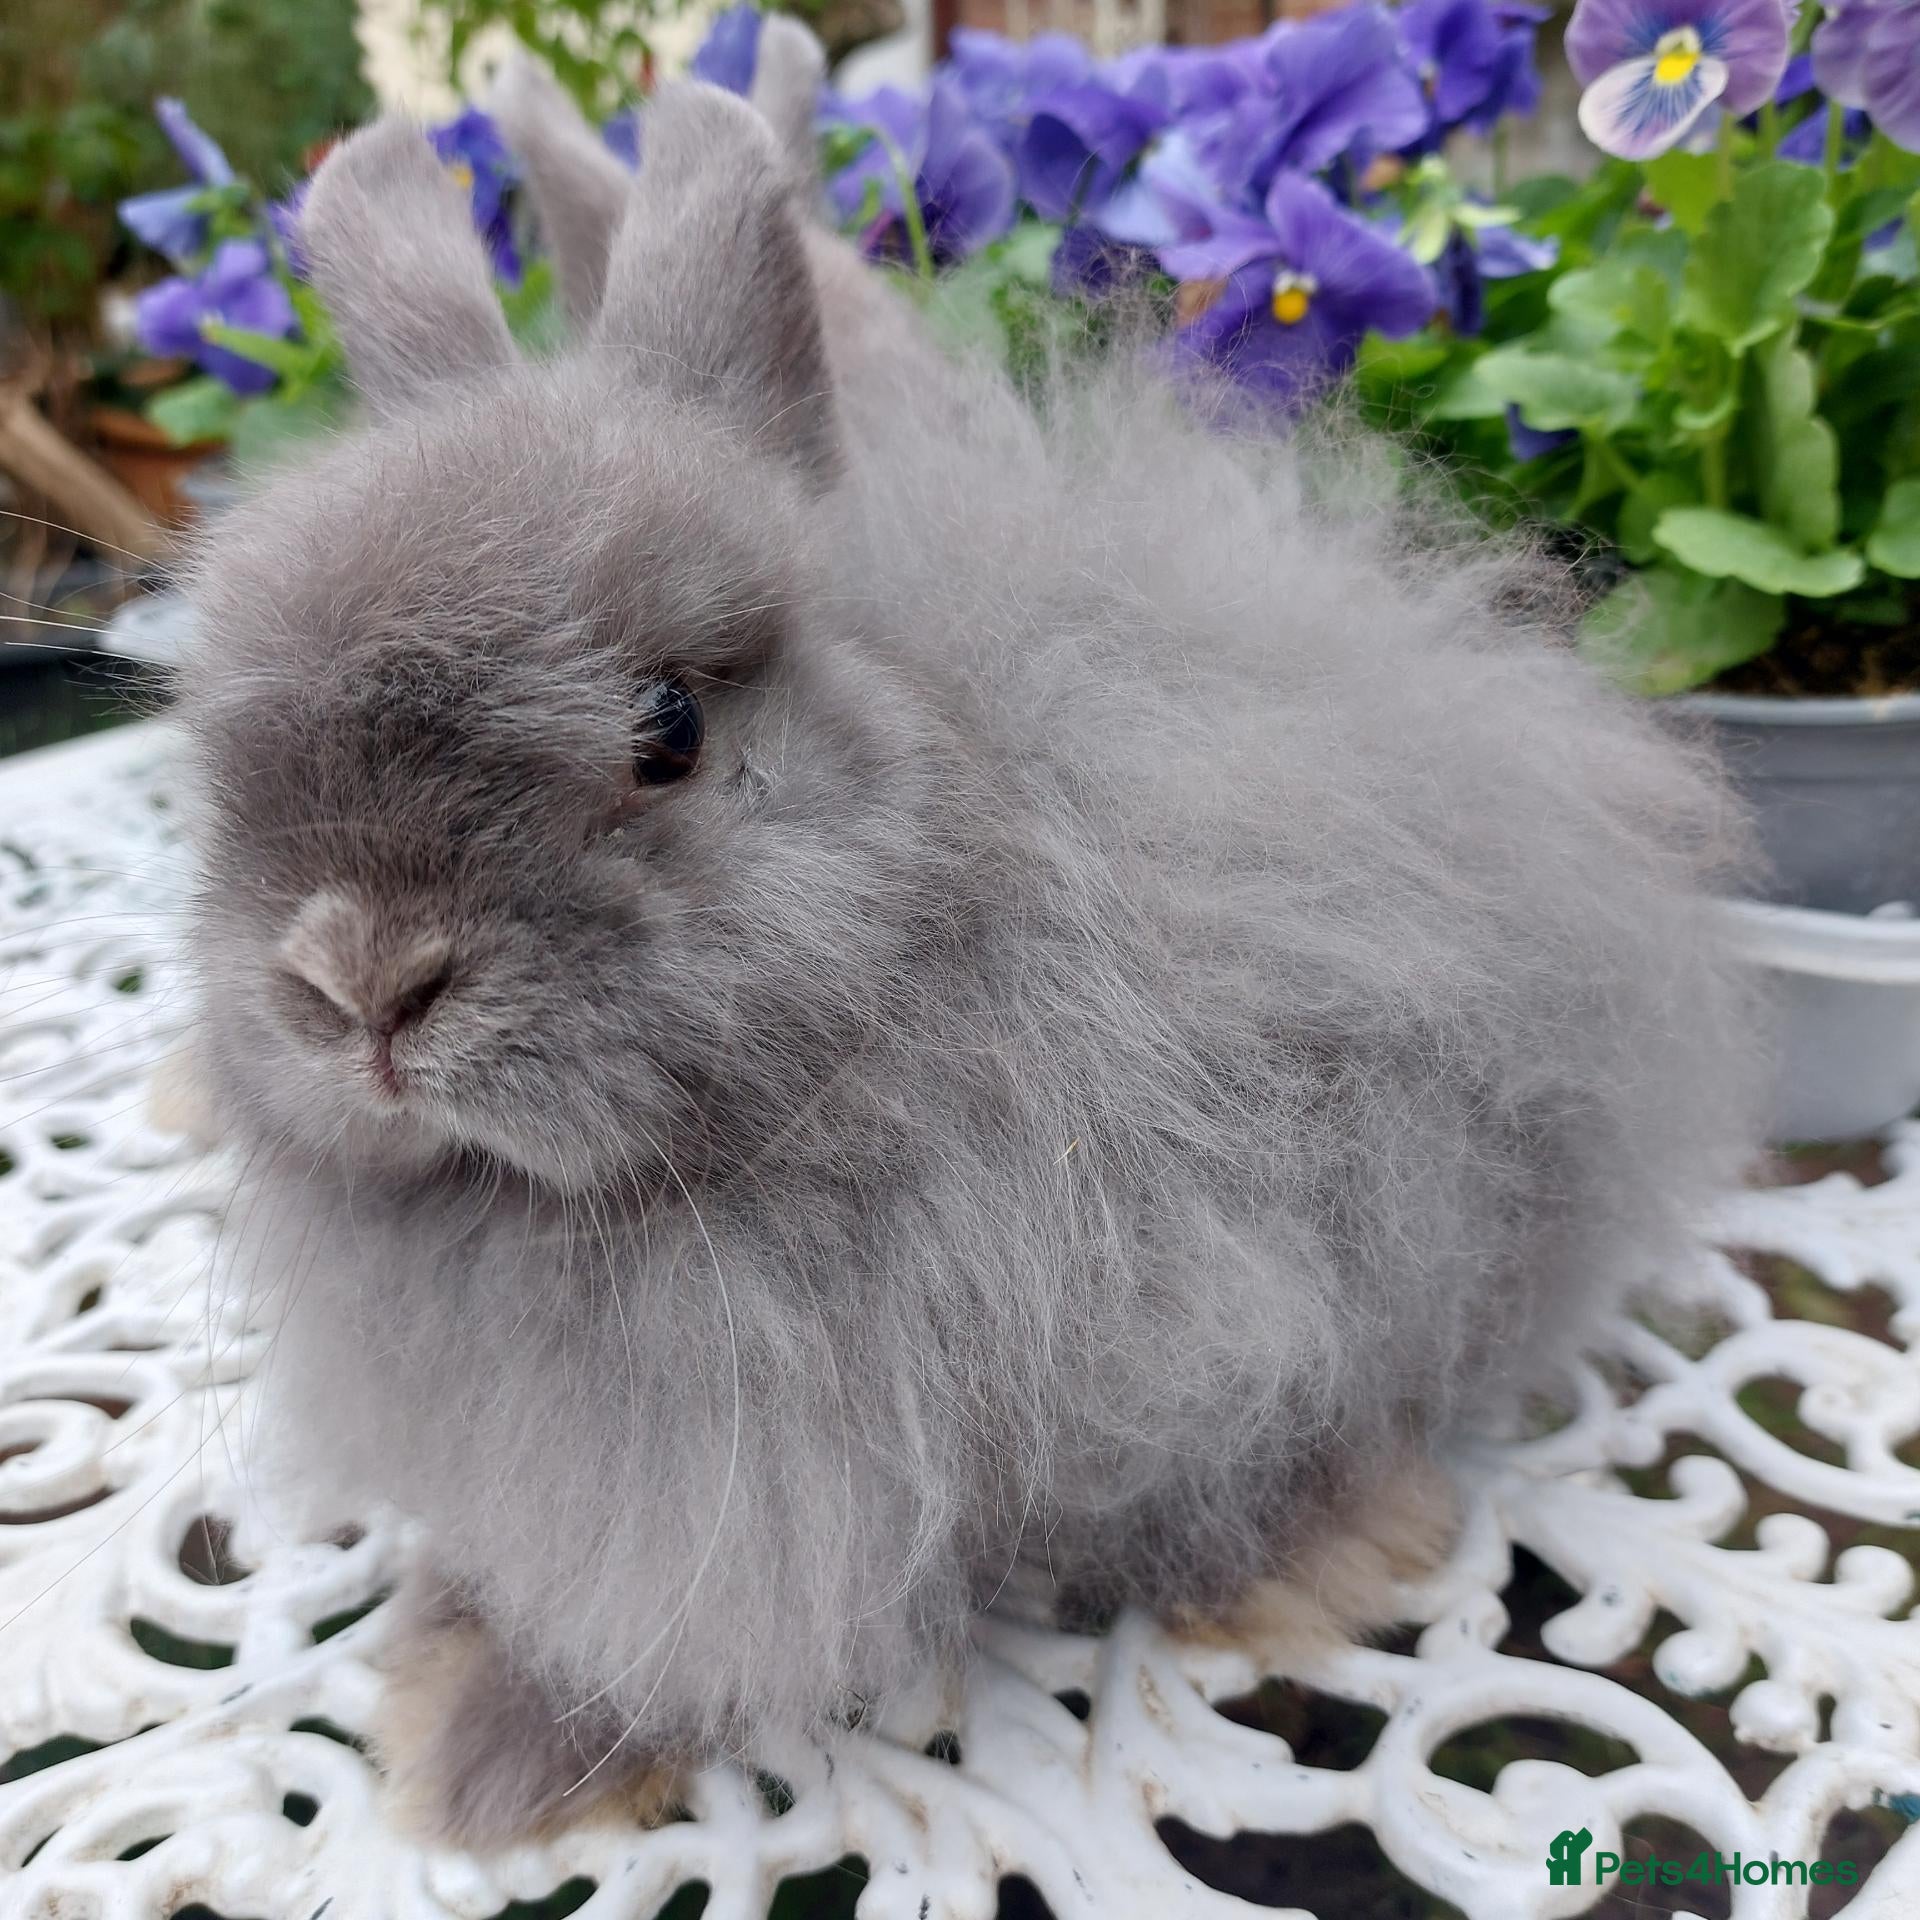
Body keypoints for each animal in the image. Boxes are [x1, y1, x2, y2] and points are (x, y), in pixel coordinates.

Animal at [177, 22, 1760, 1847]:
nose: (363, 980)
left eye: (667, 730)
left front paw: (488, 1759)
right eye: (230, 759)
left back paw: (1307, 1561)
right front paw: (456, 1709)